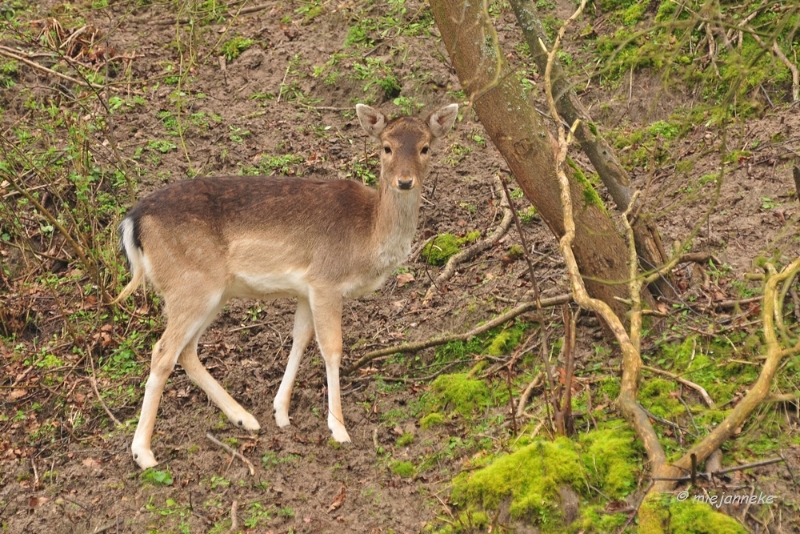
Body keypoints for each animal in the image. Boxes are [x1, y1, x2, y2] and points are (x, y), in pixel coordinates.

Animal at [115, 103, 460, 468]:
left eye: (425, 147)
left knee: (187, 351)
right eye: (386, 147)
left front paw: (280, 411)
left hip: (211, 292)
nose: (405, 181)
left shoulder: (306, 289)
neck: (367, 237)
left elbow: (300, 338)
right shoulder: (326, 280)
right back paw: (143, 453)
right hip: (190, 284)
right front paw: (338, 428)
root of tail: (133, 221)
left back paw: (245, 418)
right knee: (163, 351)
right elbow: (332, 347)